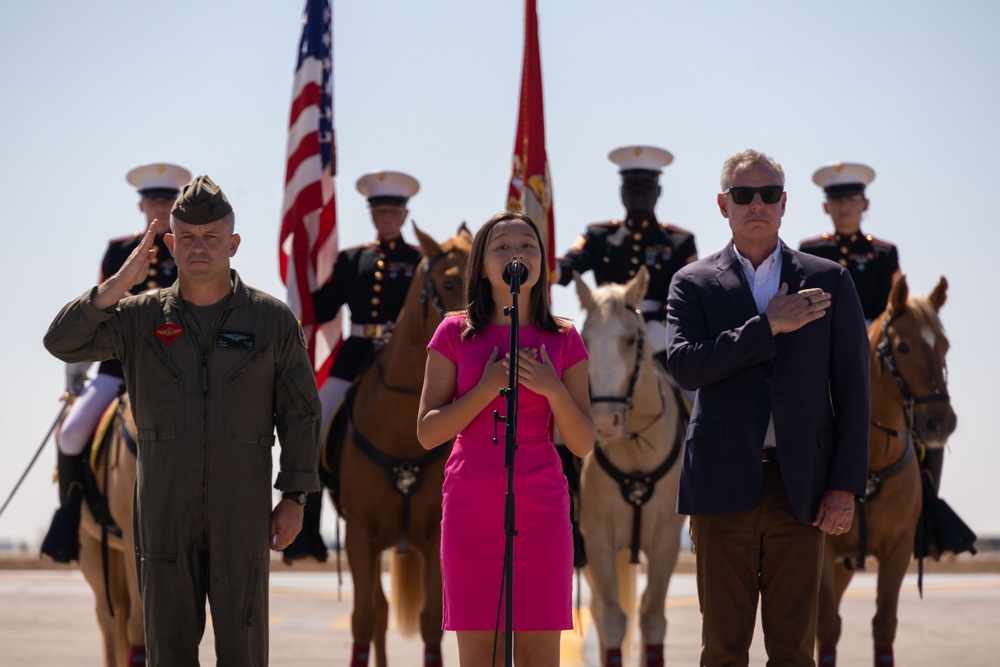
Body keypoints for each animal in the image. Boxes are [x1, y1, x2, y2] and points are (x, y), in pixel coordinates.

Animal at [328, 226, 468, 667]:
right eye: (449, 282)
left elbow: (431, 621)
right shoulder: (358, 535)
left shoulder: (434, 536)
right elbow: (362, 618)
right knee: (377, 610)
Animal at [576, 268, 684, 667]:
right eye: (585, 340)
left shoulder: (666, 541)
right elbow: (612, 619)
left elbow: (652, 617)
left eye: (630, 339)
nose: (604, 422)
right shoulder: (598, 540)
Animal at [816, 274, 956, 664]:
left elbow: (884, 623)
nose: (941, 422)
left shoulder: (899, 548)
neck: (872, 460)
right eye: (903, 347)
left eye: (945, 347)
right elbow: (827, 624)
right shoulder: (824, 551)